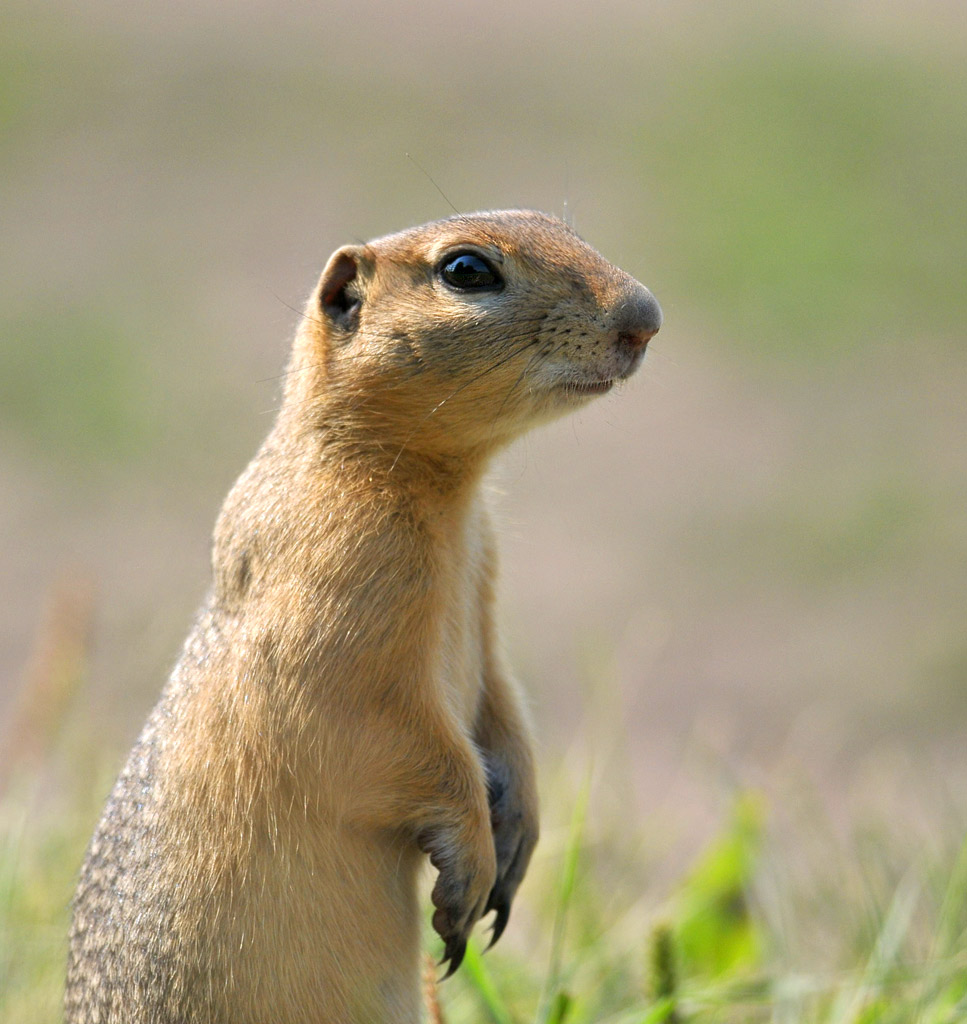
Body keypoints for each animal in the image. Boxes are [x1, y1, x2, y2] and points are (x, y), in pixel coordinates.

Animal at [64, 209, 659, 1024]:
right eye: (466, 270)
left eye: (557, 220)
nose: (646, 317)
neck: (445, 491)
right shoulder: (338, 597)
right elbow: (385, 733)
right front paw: (469, 867)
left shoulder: (485, 588)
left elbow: (504, 702)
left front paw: (517, 836)